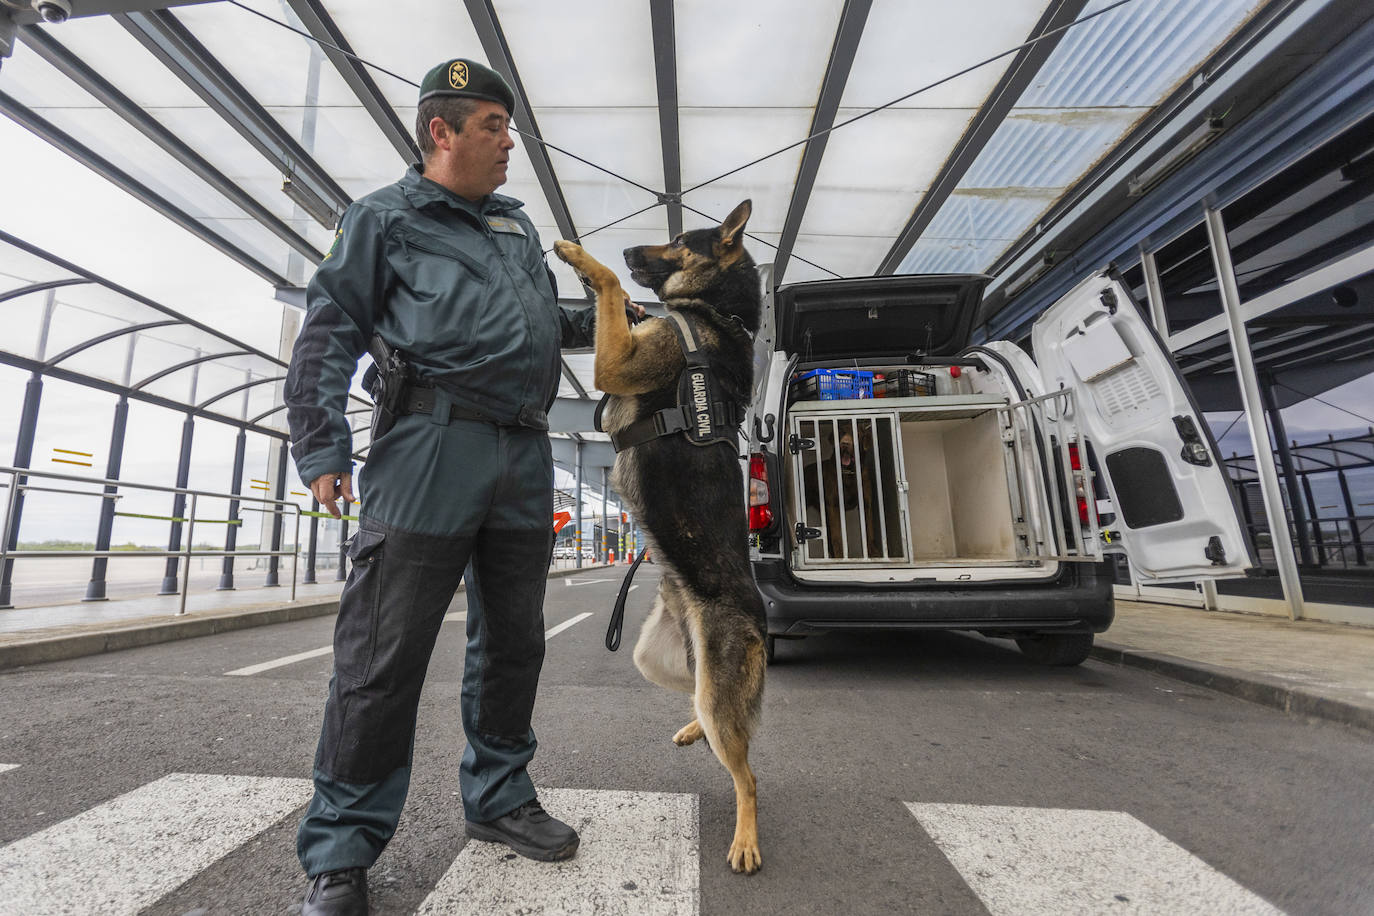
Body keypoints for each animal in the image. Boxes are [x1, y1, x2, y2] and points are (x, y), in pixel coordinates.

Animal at [557, 200, 774, 873]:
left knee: (748, 774)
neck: (716, 315)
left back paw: (747, 839)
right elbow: (621, 298)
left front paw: (582, 258)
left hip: (712, 683)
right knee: (713, 714)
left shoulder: (618, 362)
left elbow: (611, 288)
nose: (629, 250)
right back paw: (695, 728)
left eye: (679, 240)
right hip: (658, 660)